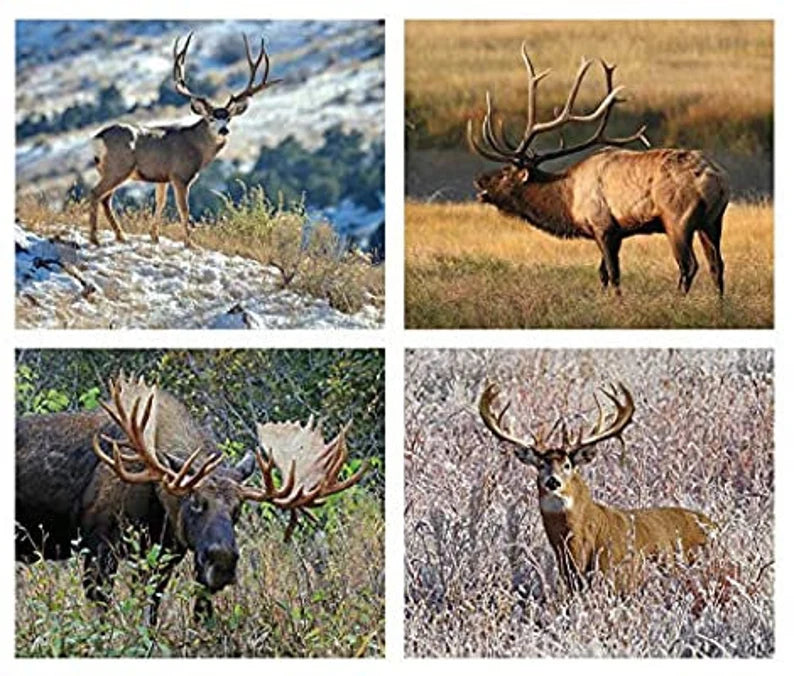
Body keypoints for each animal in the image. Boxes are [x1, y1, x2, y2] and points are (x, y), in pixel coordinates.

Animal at [16, 374, 368, 624]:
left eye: (238, 509)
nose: (222, 561)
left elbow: (151, 613)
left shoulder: (165, 555)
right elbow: (101, 617)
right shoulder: (100, 545)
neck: (155, 508)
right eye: (194, 501)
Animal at [89, 32, 280, 248]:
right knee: (96, 193)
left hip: (109, 169)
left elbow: (160, 203)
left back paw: (121, 236)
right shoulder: (181, 175)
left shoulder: (162, 177)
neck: (196, 147)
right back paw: (95, 238)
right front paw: (190, 243)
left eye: (228, 118)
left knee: (105, 199)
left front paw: (154, 237)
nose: (224, 130)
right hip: (119, 167)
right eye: (211, 118)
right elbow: (184, 209)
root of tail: (98, 138)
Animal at [468, 44, 730, 296]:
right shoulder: (616, 232)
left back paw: (677, 300)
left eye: (504, 173)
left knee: (689, 265)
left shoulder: (603, 226)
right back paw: (719, 304)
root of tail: (718, 181)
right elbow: (602, 273)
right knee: (717, 265)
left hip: (677, 219)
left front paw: (617, 302)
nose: (479, 179)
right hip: (712, 221)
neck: (569, 200)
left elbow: (613, 274)